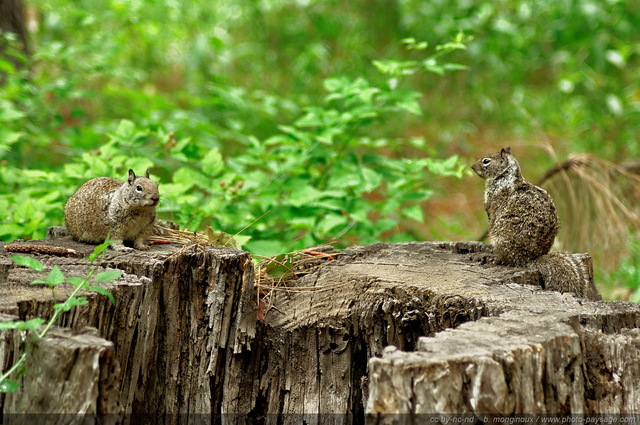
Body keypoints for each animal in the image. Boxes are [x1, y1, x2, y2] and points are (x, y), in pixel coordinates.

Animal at [470, 147, 600, 300]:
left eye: (486, 161)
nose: (472, 167)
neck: (505, 176)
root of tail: (529, 258)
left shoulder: (493, 202)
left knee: (504, 259)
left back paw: (493, 258)